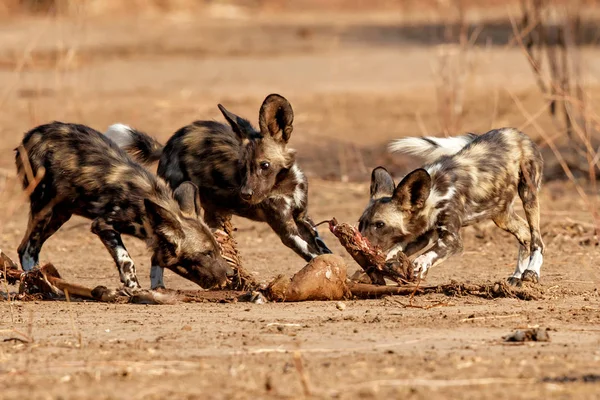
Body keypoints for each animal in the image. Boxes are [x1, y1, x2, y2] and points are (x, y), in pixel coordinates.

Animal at [15, 120, 232, 290]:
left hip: (60, 214)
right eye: (207, 254)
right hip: (45, 209)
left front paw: (157, 289)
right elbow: (127, 260)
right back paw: (39, 284)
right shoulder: (103, 224)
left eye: (217, 250)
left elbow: (155, 263)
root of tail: (31, 134)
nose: (230, 274)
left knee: (27, 247)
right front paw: (134, 288)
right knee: (27, 249)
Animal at [106, 95, 332, 274]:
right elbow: (315, 255)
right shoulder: (287, 230)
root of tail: (167, 146)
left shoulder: (303, 219)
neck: (285, 185)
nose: (245, 194)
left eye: (264, 165)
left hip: (215, 213)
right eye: (242, 167)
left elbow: (323, 250)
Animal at [358, 128, 548, 284]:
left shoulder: (452, 239)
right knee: (524, 234)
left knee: (537, 239)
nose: (361, 245)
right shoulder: (423, 235)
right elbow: (395, 250)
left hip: (528, 195)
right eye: (360, 224)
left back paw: (531, 272)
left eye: (380, 224)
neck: (432, 195)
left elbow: (426, 255)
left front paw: (417, 269)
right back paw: (517, 275)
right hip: (500, 214)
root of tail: (515, 132)